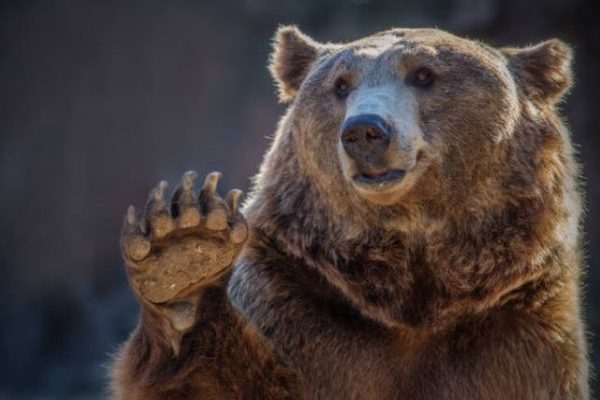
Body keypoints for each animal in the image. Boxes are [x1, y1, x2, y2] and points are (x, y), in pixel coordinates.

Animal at [110, 26, 588, 398]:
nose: (365, 131)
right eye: (341, 85)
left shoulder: (516, 333)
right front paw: (184, 255)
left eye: (424, 74)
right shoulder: (296, 302)